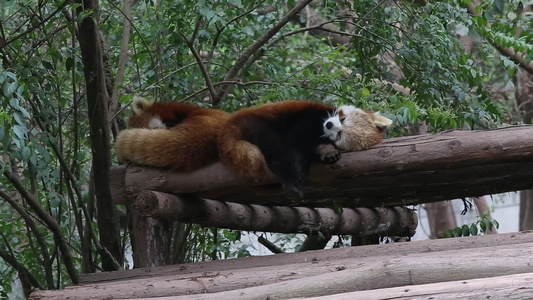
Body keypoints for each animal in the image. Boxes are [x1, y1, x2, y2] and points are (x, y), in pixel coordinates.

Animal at [217, 101, 390, 197]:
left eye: (340, 135)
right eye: (342, 118)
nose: (329, 124)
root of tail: (235, 119)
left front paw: (329, 153)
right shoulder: (312, 116)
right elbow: (297, 137)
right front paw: (301, 167)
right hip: (256, 123)